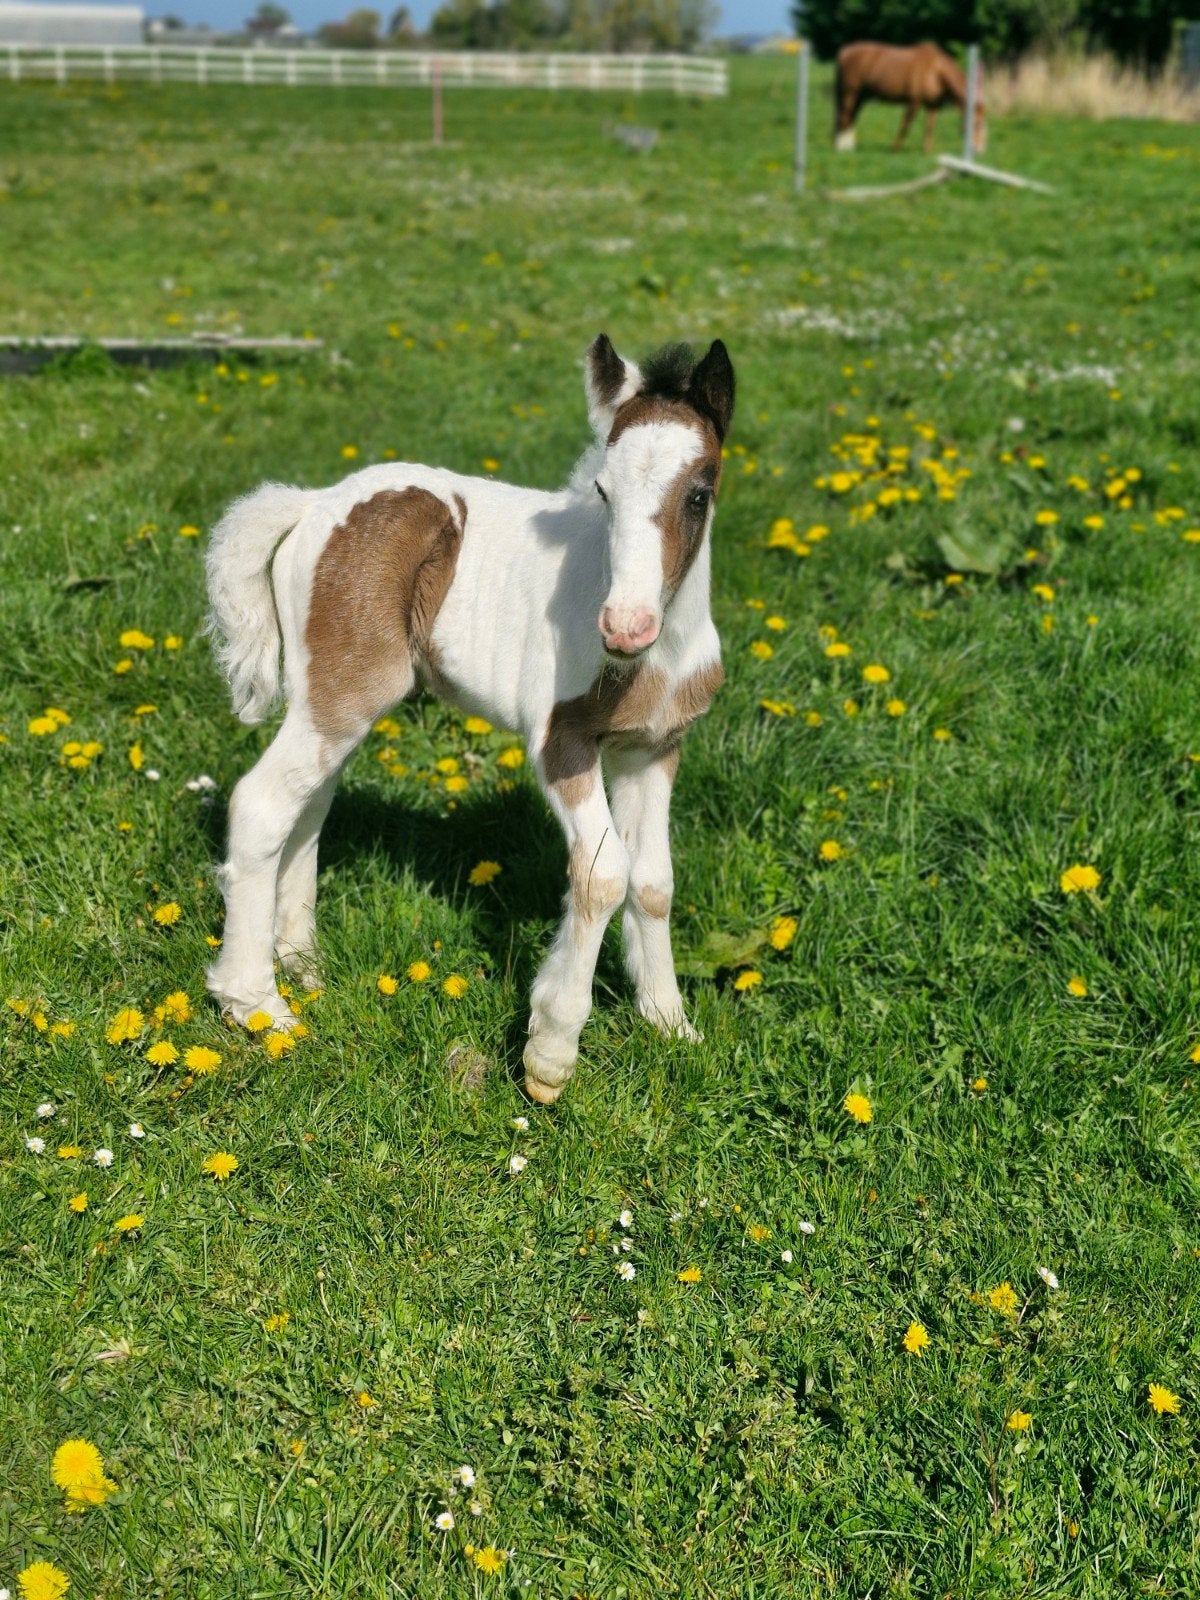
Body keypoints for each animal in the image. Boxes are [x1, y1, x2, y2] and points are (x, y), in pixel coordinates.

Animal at [204, 335, 735, 1105]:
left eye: (699, 493)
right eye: (602, 491)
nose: (623, 628)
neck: (659, 655)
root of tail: (313, 504)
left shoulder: (654, 748)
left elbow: (654, 882)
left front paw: (668, 1022)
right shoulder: (562, 744)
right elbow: (604, 873)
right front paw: (550, 1053)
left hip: (329, 700)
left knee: (309, 806)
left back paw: (302, 962)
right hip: (347, 691)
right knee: (262, 802)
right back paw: (258, 1003)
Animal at [834, 41, 986, 156]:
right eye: (977, 123)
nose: (979, 150)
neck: (935, 70)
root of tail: (845, 52)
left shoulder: (934, 106)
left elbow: (929, 128)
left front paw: (927, 152)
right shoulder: (914, 103)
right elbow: (905, 126)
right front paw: (894, 149)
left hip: (861, 96)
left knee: (851, 117)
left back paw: (849, 147)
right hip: (850, 93)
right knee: (844, 116)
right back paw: (842, 148)